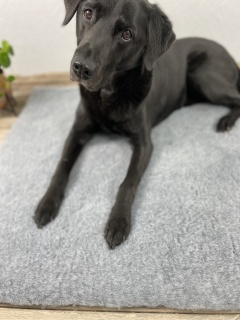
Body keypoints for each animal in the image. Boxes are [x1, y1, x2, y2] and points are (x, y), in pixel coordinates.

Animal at [34, 0, 240, 250]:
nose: (81, 68)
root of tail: (229, 54)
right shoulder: (77, 131)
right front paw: (47, 202)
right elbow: (61, 167)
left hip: (205, 77)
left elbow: (128, 181)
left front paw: (118, 220)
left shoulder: (144, 144)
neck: (107, 93)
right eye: (88, 13)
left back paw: (226, 121)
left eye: (127, 34)